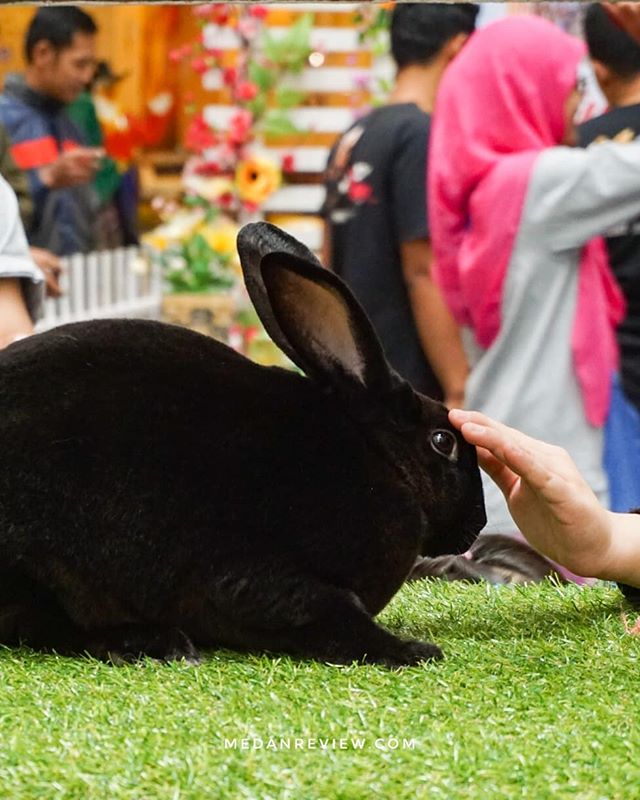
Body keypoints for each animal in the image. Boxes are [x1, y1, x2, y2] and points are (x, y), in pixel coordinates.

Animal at [0, 222, 484, 664]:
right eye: (442, 441)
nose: (477, 524)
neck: (378, 456)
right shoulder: (259, 578)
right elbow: (330, 612)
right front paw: (411, 650)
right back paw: (156, 644)